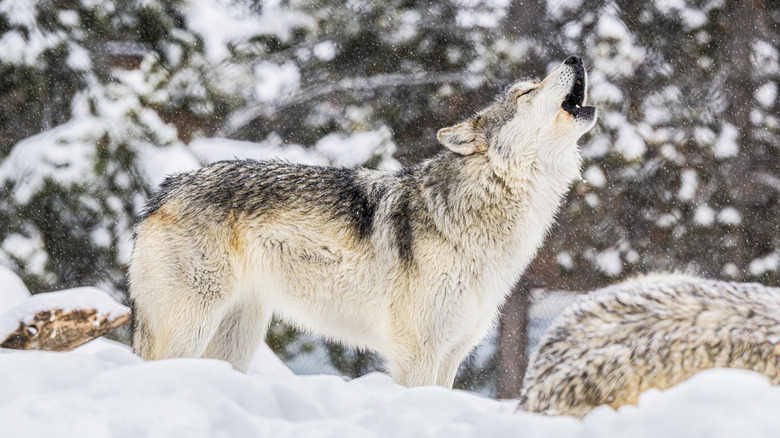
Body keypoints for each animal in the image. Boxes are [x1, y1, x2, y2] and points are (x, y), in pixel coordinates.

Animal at [129, 56, 596, 388]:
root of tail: (166, 189)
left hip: (236, 338)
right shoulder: (419, 352)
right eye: (526, 92)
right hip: (191, 329)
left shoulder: (452, 353)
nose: (575, 57)